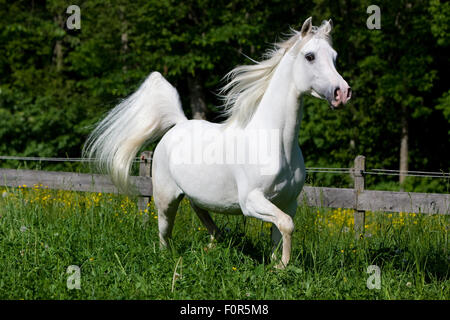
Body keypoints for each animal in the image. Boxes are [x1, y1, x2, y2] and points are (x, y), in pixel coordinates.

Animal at [83, 16, 352, 268]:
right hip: (166, 199)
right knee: (164, 233)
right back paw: (170, 258)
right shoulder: (251, 201)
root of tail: (178, 123)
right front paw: (283, 266)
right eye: (310, 56)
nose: (343, 93)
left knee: (204, 217)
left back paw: (212, 246)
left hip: (196, 195)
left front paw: (277, 266)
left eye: (335, 57)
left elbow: (281, 232)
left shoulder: (288, 202)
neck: (275, 144)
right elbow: (287, 225)